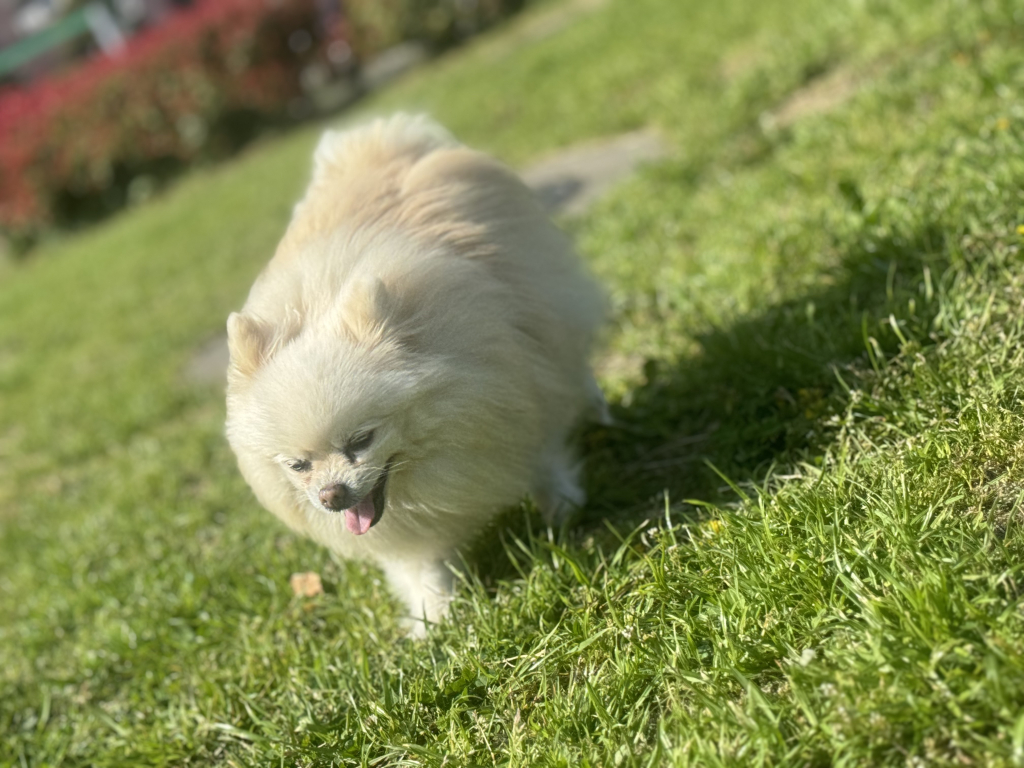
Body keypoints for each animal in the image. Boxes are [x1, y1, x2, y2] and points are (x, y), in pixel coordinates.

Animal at [226, 115, 598, 638]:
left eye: (361, 440)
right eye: (298, 466)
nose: (332, 496)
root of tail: (374, 142)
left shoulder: (528, 376)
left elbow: (545, 455)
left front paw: (562, 509)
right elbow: (420, 566)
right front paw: (435, 618)